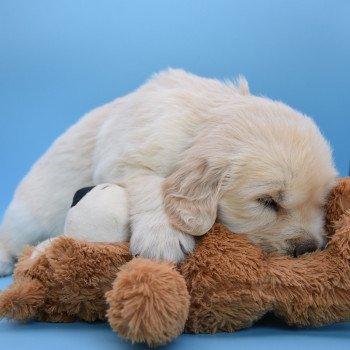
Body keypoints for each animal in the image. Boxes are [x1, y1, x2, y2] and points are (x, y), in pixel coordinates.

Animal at [0, 69, 340, 276]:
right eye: (267, 201)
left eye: (322, 203)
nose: (309, 249)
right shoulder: (124, 158)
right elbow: (153, 185)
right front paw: (163, 238)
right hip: (28, 216)